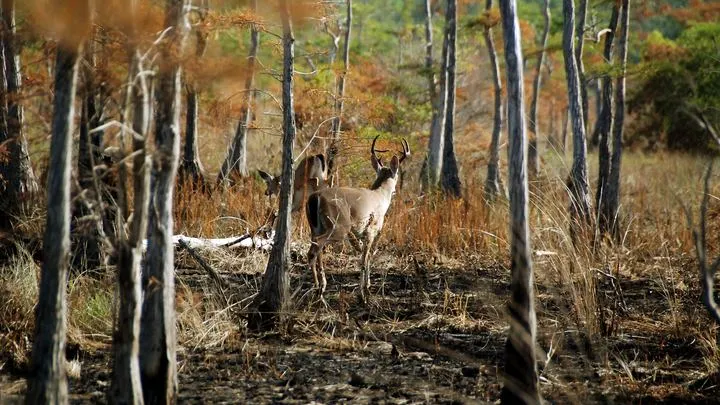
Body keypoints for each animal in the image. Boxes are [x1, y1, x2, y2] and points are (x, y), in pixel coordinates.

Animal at [305, 135, 409, 301]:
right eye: (397, 174)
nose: (395, 191)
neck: (380, 195)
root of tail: (315, 197)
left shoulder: (360, 233)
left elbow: (365, 256)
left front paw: (367, 286)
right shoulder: (371, 230)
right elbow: (365, 259)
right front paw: (363, 292)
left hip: (314, 226)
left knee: (316, 246)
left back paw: (321, 286)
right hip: (338, 225)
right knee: (315, 248)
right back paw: (318, 289)